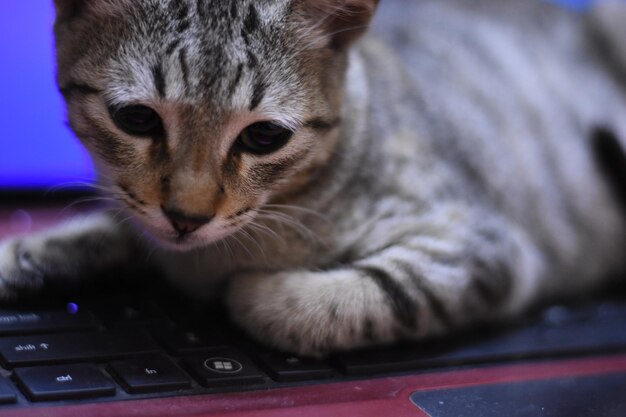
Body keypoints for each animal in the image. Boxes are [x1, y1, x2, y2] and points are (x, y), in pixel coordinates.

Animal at [1, 0, 624, 356]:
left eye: (263, 138)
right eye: (136, 119)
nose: (186, 217)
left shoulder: (476, 247)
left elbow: (330, 301)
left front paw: (249, 290)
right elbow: (107, 230)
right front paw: (25, 254)